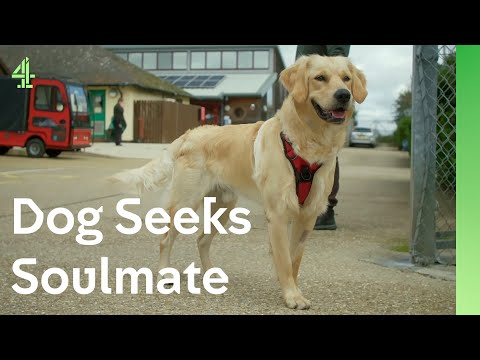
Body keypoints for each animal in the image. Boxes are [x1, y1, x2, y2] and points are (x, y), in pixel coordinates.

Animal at [110, 54, 368, 310]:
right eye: (320, 78)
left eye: (346, 78)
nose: (344, 95)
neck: (310, 141)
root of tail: (191, 132)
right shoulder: (278, 213)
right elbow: (284, 259)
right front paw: (292, 295)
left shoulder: (308, 215)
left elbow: (294, 259)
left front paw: (292, 291)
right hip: (185, 203)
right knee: (166, 239)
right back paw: (165, 273)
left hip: (223, 207)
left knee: (202, 239)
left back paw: (211, 274)